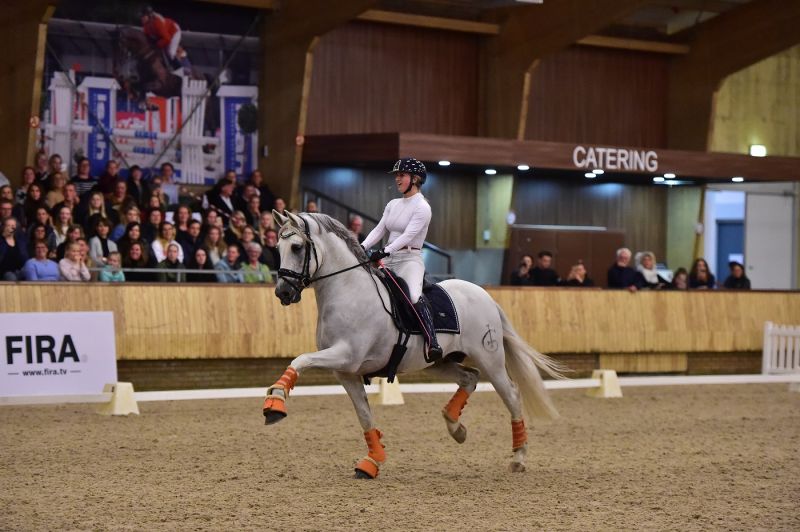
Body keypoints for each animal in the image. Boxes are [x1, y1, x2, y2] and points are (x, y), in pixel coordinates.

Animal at [262, 212, 564, 478]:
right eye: (277, 248)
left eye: (297, 247)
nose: (283, 292)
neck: (348, 290)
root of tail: (483, 294)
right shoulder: (346, 372)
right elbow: (364, 415)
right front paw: (372, 462)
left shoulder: (346, 355)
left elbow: (301, 359)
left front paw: (274, 403)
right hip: (439, 362)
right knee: (469, 378)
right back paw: (455, 427)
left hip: (490, 360)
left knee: (511, 395)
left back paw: (518, 458)